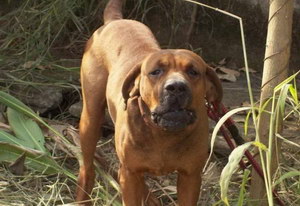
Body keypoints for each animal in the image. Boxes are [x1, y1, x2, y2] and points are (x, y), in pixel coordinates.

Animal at [77, 0, 223, 205]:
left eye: (193, 72)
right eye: (156, 71)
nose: (176, 87)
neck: (163, 135)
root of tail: (115, 21)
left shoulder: (191, 176)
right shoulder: (129, 174)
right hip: (90, 118)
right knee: (87, 167)